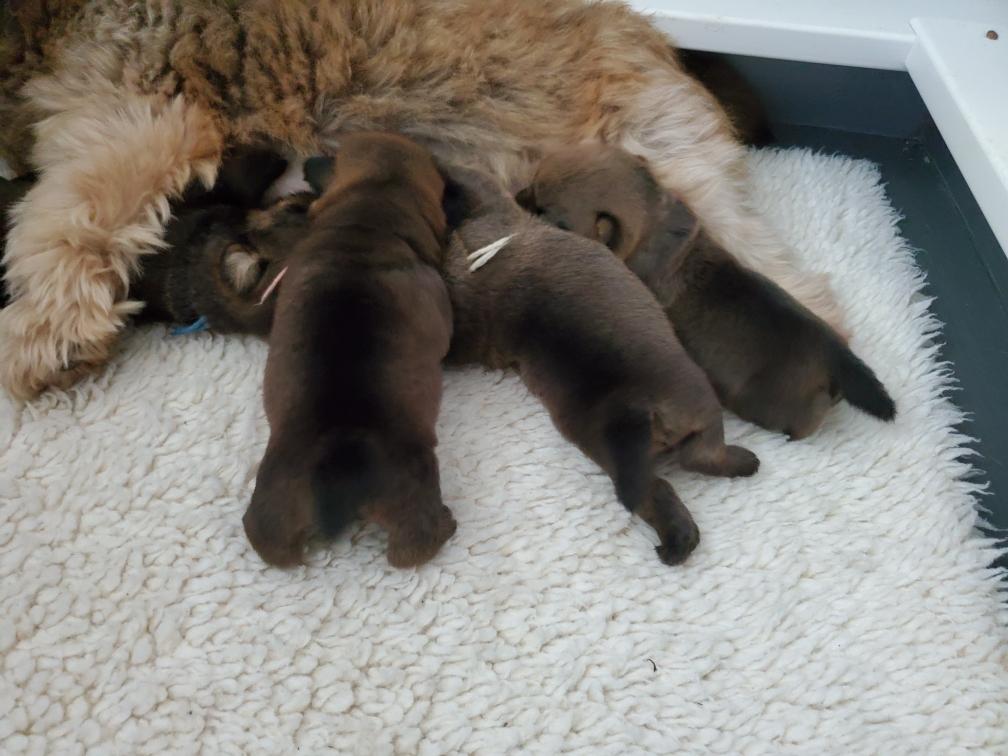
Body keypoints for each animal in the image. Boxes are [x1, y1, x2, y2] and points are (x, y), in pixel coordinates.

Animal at [0, 0, 842, 399]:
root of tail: (657, 40)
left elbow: (64, 217)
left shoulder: (134, 117)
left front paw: (45, 329)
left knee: (800, 290)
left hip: (667, 164)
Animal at [243, 132, 456, 569]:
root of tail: (338, 466)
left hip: (272, 499)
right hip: (416, 486)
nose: (307, 161)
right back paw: (445, 524)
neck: (368, 219)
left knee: (270, 543)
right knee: (411, 548)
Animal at [518, 144, 896, 439]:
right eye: (534, 181)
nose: (517, 195)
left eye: (550, 215)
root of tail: (834, 354)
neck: (651, 220)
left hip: (771, 404)